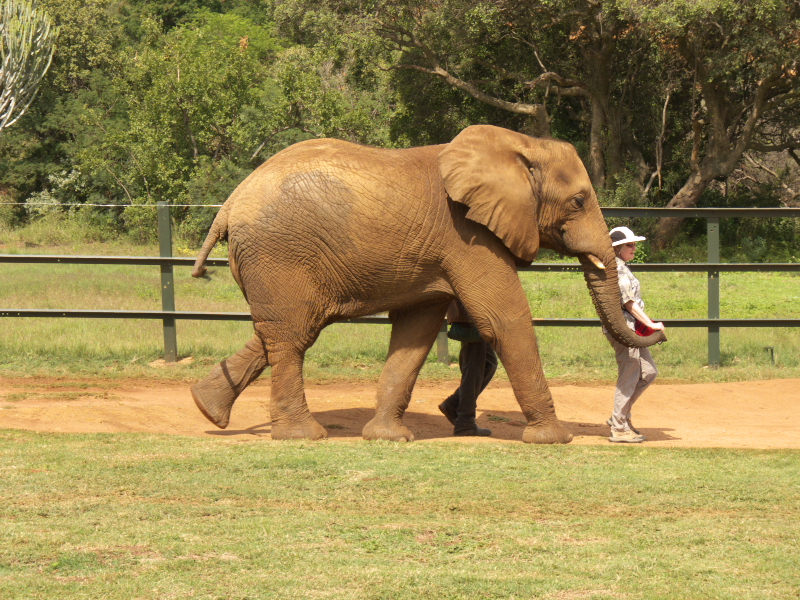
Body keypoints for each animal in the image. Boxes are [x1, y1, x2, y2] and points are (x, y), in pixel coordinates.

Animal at [189, 124, 665, 444]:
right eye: (579, 201)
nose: (657, 329)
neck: (520, 144)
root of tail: (228, 205)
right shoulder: (468, 235)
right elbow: (505, 318)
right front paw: (554, 440)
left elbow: (415, 334)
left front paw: (388, 438)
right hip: (280, 255)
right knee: (292, 336)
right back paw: (303, 435)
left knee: (279, 330)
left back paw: (206, 408)